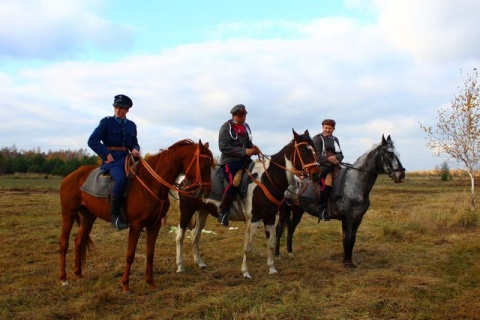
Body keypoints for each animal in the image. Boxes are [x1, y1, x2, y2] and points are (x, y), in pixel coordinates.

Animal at [58, 139, 214, 292]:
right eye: (204, 164)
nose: (206, 192)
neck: (151, 183)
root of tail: (70, 176)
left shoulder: (154, 225)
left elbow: (150, 253)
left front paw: (151, 282)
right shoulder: (136, 226)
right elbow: (130, 254)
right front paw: (125, 284)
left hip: (89, 216)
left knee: (79, 241)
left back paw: (78, 274)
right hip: (69, 213)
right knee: (64, 243)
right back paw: (64, 279)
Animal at [175, 129, 318, 278]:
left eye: (314, 149)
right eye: (303, 150)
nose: (316, 174)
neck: (267, 179)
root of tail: (184, 178)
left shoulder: (270, 218)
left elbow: (271, 244)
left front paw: (272, 268)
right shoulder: (253, 220)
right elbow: (248, 247)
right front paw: (245, 272)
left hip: (203, 211)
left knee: (195, 236)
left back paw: (200, 263)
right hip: (186, 210)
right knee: (180, 236)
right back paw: (180, 266)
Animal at [274, 134, 404, 268]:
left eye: (398, 154)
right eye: (389, 154)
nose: (401, 175)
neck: (355, 182)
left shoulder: (358, 218)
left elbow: (352, 239)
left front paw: (349, 260)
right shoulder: (347, 218)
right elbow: (347, 238)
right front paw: (347, 262)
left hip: (297, 211)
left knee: (291, 228)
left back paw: (290, 252)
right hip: (284, 210)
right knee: (279, 229)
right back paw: (277, 254)